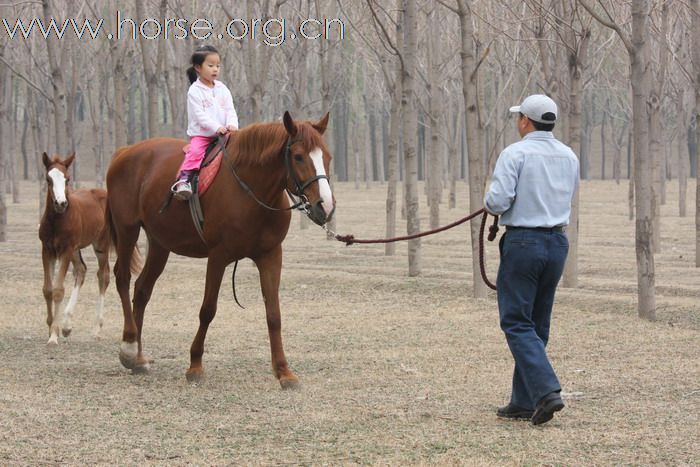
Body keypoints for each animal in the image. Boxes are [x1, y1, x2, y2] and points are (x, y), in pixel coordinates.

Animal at [39, 154, 110, 344]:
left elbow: (58, 290)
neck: (57, 221)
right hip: (75, 250)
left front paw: (53, 335)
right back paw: (67, 326)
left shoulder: (65, 250)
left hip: (100, 246)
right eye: (48, 179)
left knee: (103, 276)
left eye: (67, 178)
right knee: (81, 270)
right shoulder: (47, 250)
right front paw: (52, 326)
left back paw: (97, 328)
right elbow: (47, 289)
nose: (61, 203)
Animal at [104, 111, 334, 386]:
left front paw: (284, 371)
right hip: (127, 229)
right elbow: (208, 310)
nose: (325, 206)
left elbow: (273, 314)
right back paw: (128, 347)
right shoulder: (218, 256)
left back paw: (137, 359)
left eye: (328, 156)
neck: (251, 191)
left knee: (141, 290)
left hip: (160, 243)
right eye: (298, 156)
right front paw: (195, 365)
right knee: (123, 278)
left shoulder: (270, 255)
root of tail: (125, 152)